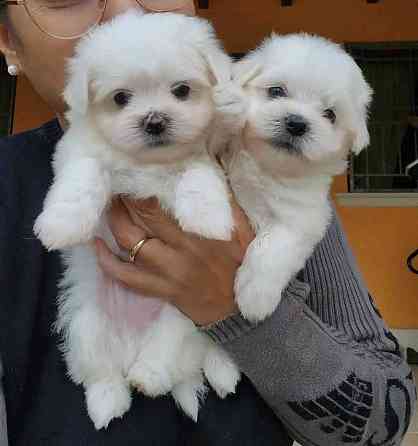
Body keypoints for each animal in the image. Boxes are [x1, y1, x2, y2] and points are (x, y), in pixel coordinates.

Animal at [34, 9, 240, 428]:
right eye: (121, 98)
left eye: (182, 91)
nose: (155, 121)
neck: (148, 162)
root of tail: (131, 346)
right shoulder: (80, 153)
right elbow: (83, 177)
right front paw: (63, 224)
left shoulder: (204, 157)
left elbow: (198, 176)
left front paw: (207, 218)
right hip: (86, 324)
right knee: (100, 371)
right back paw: (107, 402)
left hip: (181, 315)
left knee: (165, 354)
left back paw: (149, 375)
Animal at [216, 33, 372, 322]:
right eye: (276, 91)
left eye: (330, 114)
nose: (297, 124)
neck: (265, 165)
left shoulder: (302, 220)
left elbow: (273, 246)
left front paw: (255, 297)